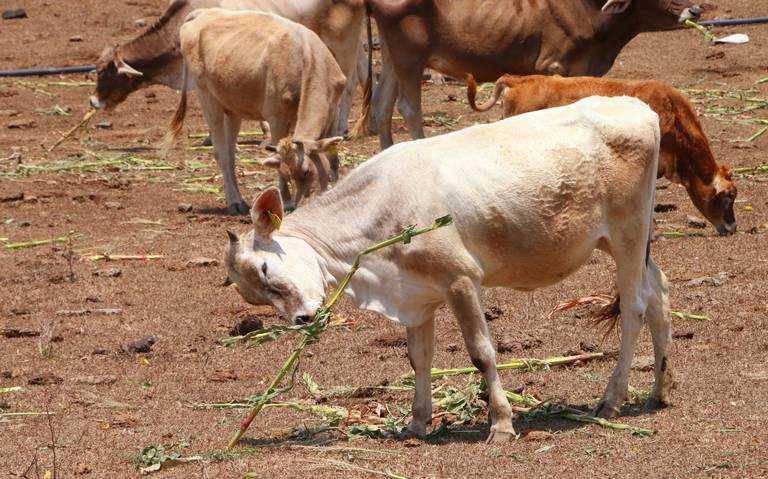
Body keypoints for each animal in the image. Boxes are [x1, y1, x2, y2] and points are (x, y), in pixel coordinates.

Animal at [224, 95, 672, 444]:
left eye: (265, 267)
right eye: (253, 295)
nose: (302, 319)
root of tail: (638, 107)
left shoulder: (461, 279)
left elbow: (482, 353)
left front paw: (501, 424)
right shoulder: (417, 295)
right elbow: (419, 358)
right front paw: (417, 423)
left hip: (628, 233)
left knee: (634, 306)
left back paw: (611, 400)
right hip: (627, 242)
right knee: (659, 294)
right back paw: (658, 391)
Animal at [364, 0, 704, 148]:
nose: (697, 9)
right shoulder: (557, 66)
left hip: (394, 56)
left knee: (382, 104)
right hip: (410, 55)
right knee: (408, 108)